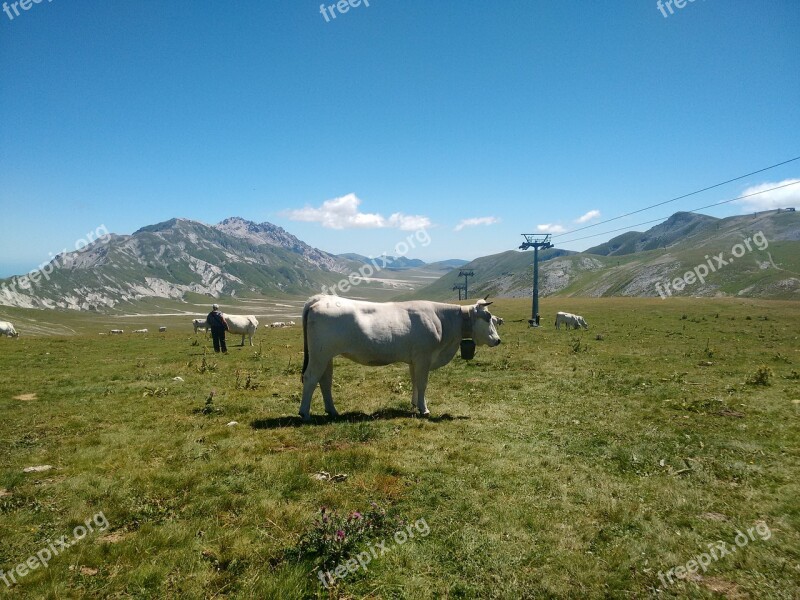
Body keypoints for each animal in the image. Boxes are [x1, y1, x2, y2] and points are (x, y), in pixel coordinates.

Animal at [300, 296, 500, 422]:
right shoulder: (424, 357)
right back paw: (305, 413)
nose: (498, 340)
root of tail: (320, 298)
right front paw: (424, 409)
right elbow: (422, 383)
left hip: (326, 356)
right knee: (310, 378)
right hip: (320, 354)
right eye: (488, 317)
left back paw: (332, 411)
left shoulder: (415, 359)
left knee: (325, 381)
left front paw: (415, 404)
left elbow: (414, 381)